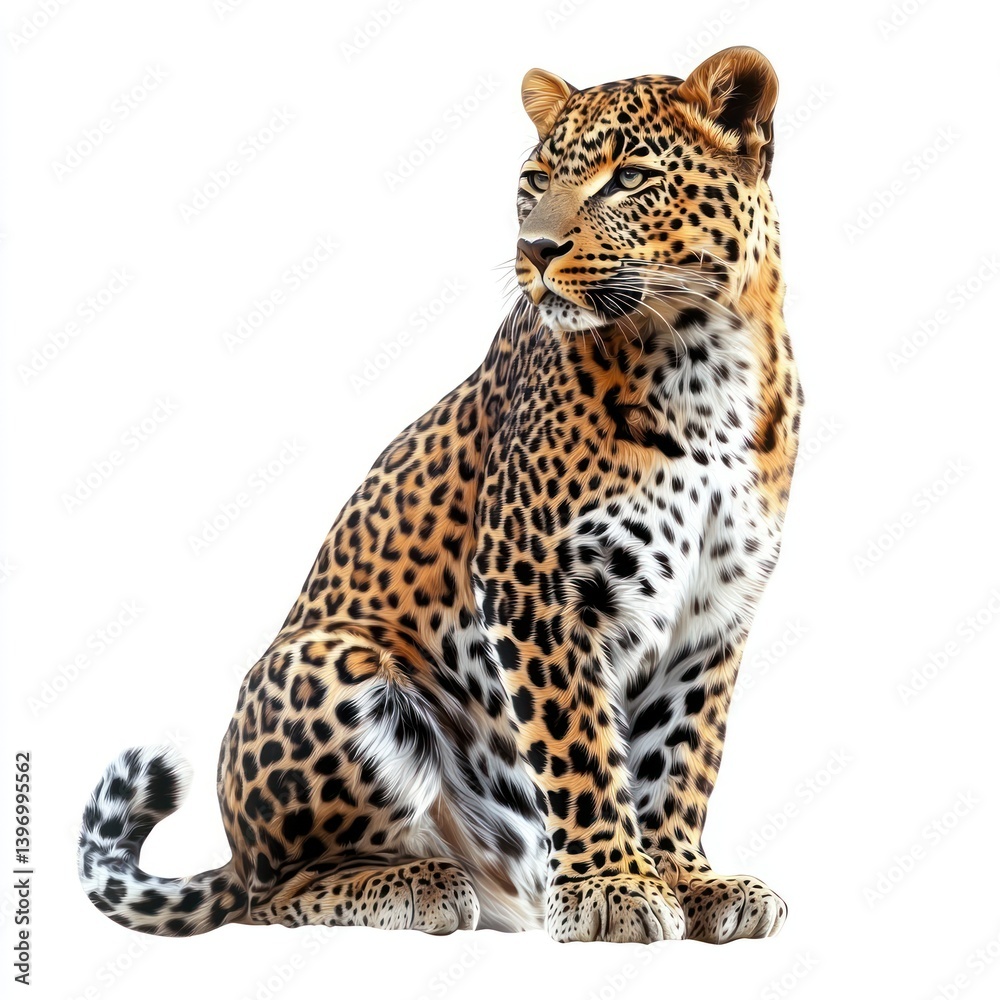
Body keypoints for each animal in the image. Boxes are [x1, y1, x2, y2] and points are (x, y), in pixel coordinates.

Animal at [79, 46, 801, 945]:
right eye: (536, 179)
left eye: (628, 178)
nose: (536, 249)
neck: (705, 353)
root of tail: (233, 849)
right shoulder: (538, 584)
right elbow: (580, 747)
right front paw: (612, 885)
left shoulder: (716, 610)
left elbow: (681, 754)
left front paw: (687, 880)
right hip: (334, 661)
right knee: (270, 895)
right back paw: (420, 885)